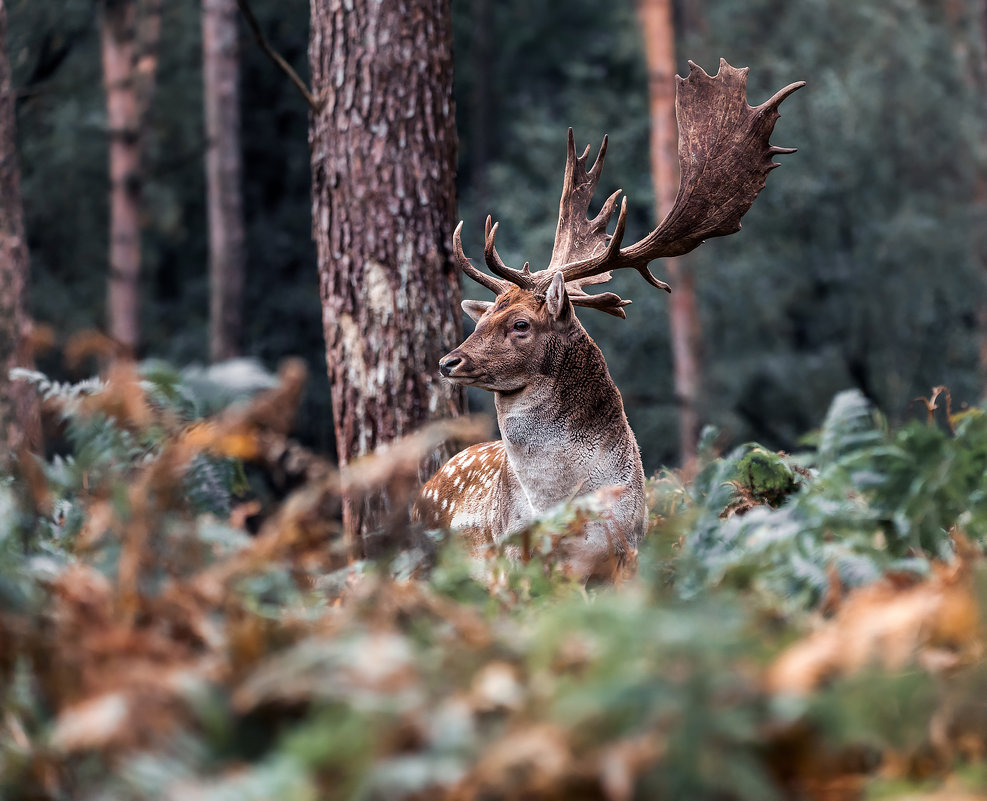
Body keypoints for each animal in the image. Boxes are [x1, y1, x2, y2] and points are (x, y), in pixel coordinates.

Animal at [412, 59, 808, 580]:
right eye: (482, 320)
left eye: (520, 324)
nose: (448, 362)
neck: (559, 508)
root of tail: (422, 490)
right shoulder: (509, 558)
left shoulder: (629, 550)